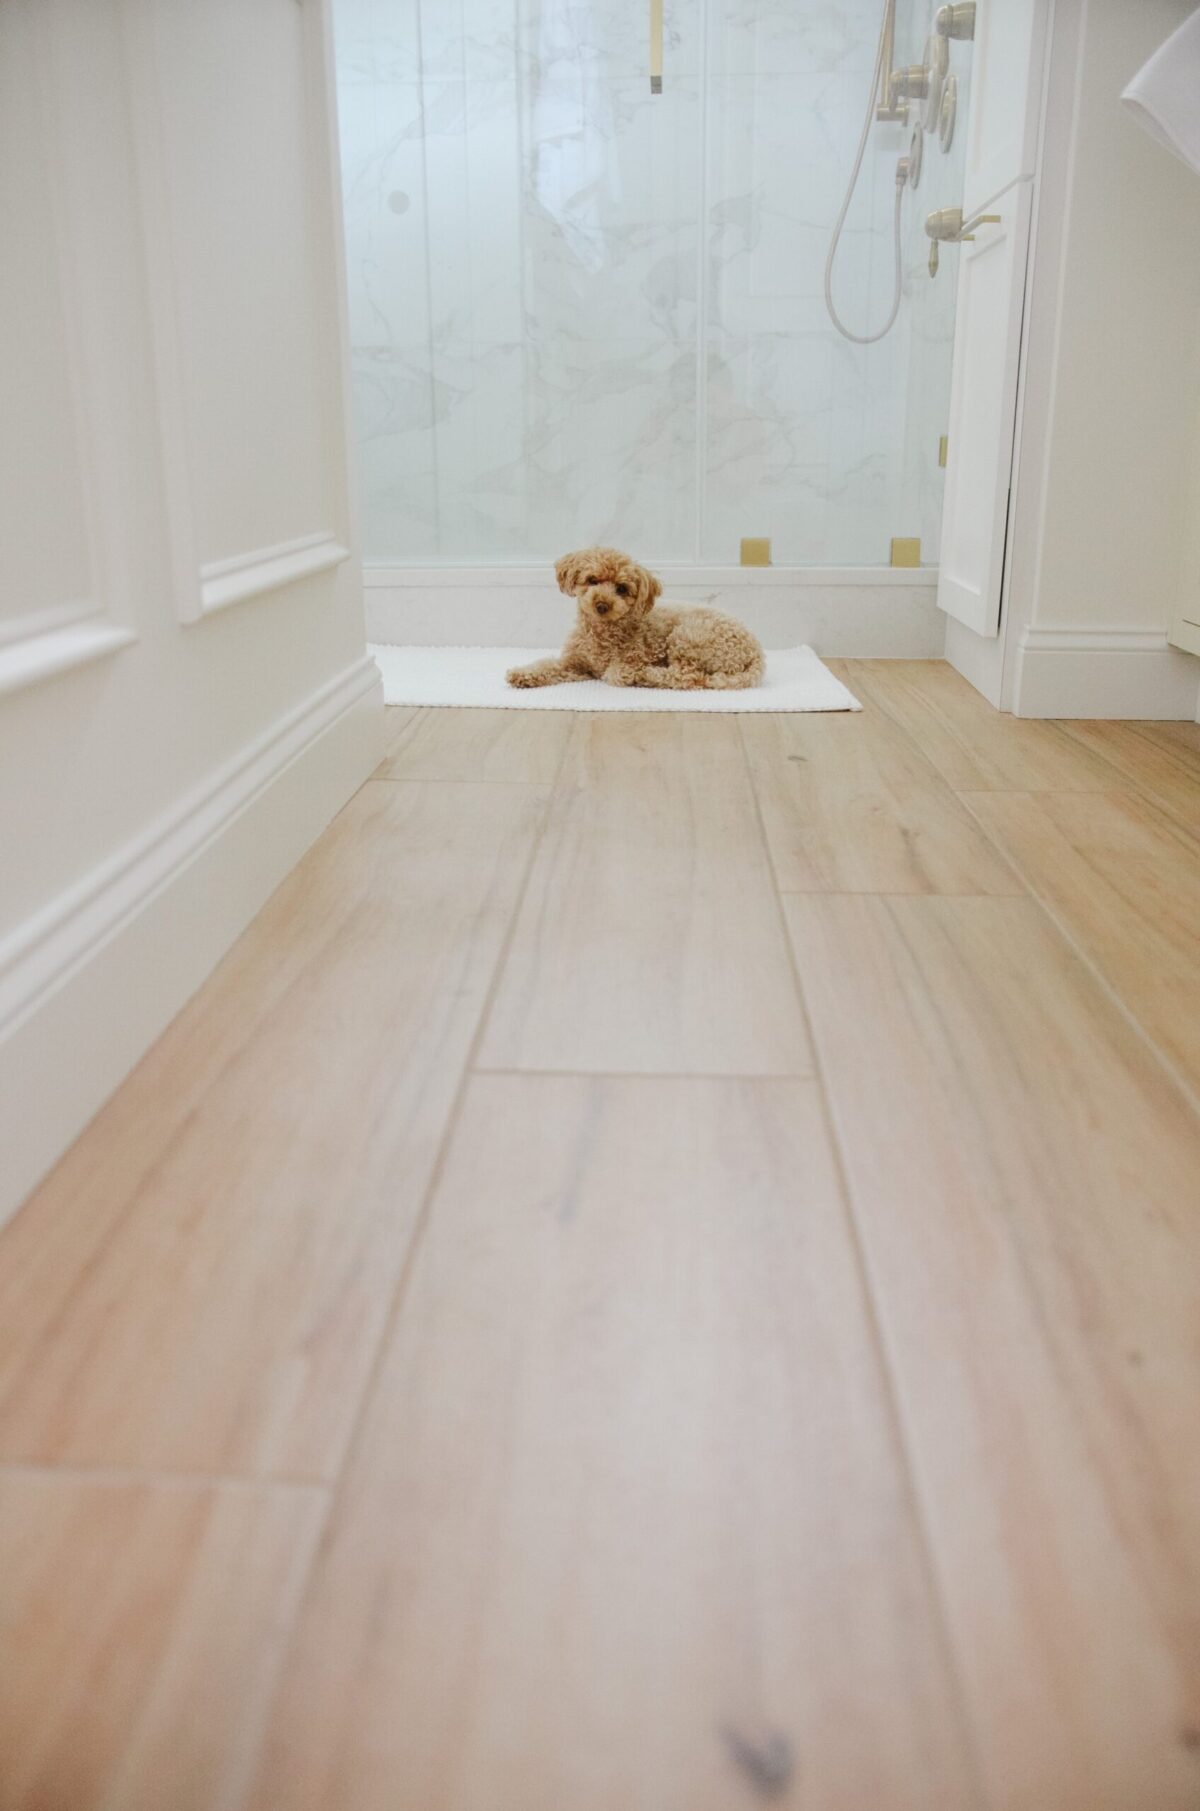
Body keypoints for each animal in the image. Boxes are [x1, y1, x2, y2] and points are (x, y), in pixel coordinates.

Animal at [503, 543, 763, 691]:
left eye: (622, 589)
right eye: (592, 580)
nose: (601, 604)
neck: (601, 633)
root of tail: (756, 652)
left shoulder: (636, 656)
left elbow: (614, 673)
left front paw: (635, 674)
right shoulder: (574, 664)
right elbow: (546, 665)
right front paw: (521, 674)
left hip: (688, 636)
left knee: (688, 676)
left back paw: (649, 676)